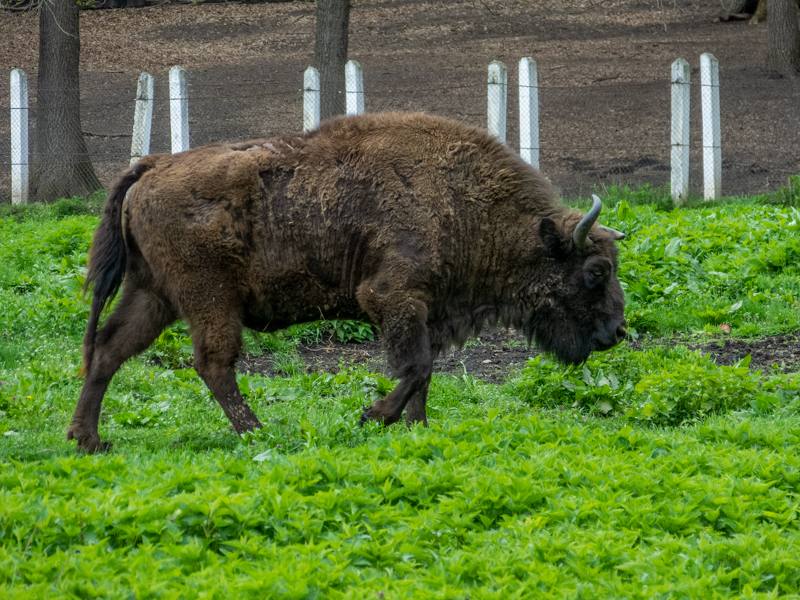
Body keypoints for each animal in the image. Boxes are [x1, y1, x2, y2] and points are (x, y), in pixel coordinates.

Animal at [68, 112, 626, 452]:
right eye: (595, 272)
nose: (618, 332)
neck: (466, 203)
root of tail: (154, 164)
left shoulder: (426, 311)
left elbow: (425, 372)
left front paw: (418, 429)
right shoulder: (391, 298)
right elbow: (416, 367)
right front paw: (373, 416)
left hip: (153, 294)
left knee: (108, 349)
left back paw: (88, 439)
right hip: (209, 298)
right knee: (212, 363)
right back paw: (259, 433)